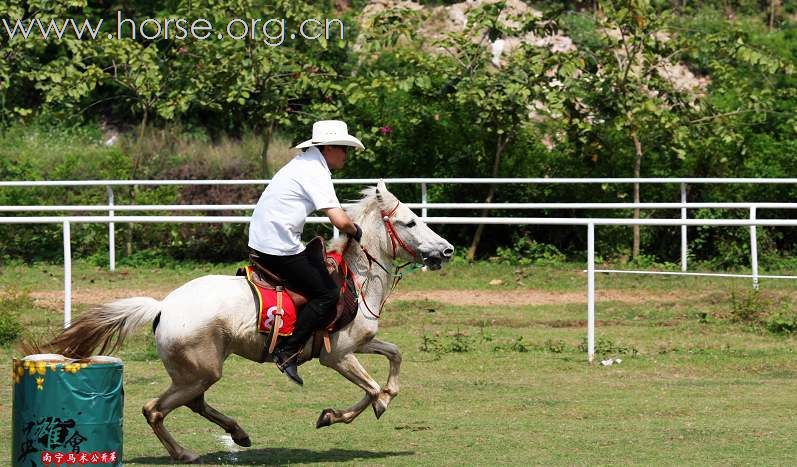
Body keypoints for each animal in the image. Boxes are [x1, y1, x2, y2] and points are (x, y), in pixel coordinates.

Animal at [37, 181, 454, 462]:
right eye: (410, 222)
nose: (447, 250)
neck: (357, 277)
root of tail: (163, 307)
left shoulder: (359, 344)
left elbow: (394, 357)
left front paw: (352, 408)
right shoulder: (336, 356)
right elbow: (371, 390)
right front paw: (342, 413)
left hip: (196, 373)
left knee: (193, 404)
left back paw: (238, 434)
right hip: (200, 372)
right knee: (154, 409)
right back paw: (186, 452)